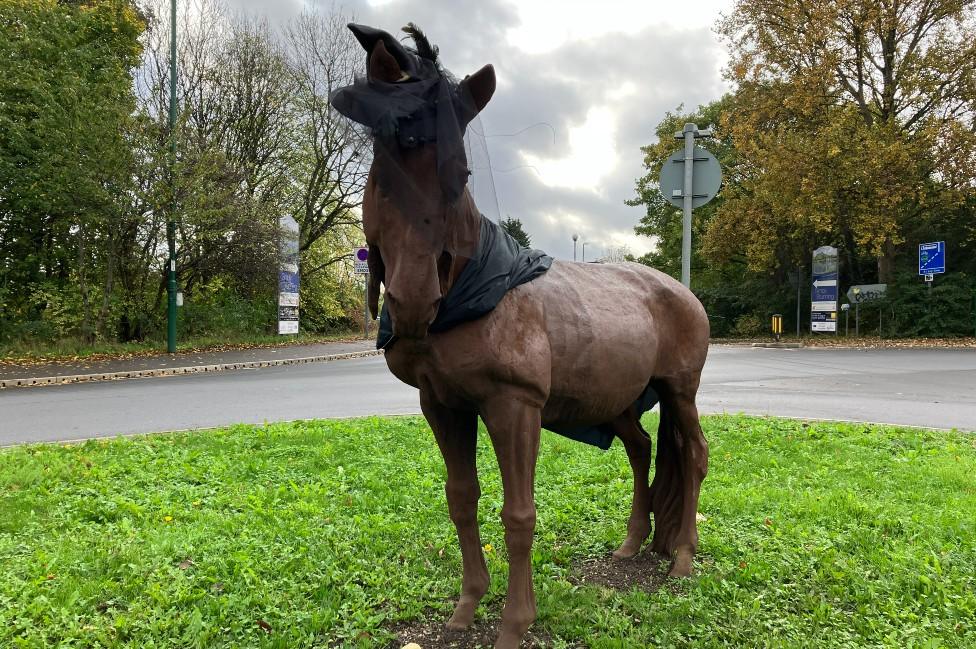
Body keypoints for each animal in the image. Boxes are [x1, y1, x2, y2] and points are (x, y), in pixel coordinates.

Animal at [336, 22, 708, 644]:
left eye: (461, 175)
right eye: (382, 172)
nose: (413, 301)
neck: (479, 290)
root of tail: (679, 291)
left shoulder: (514, 406)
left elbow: (518, 513)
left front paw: (515, 623)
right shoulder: (442, 405)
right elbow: (462, 500)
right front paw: (466, 608)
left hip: (680, 390)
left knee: (694, 454)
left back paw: (680, 556)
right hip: (618, 398)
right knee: (642, 451)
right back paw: (631, 545)